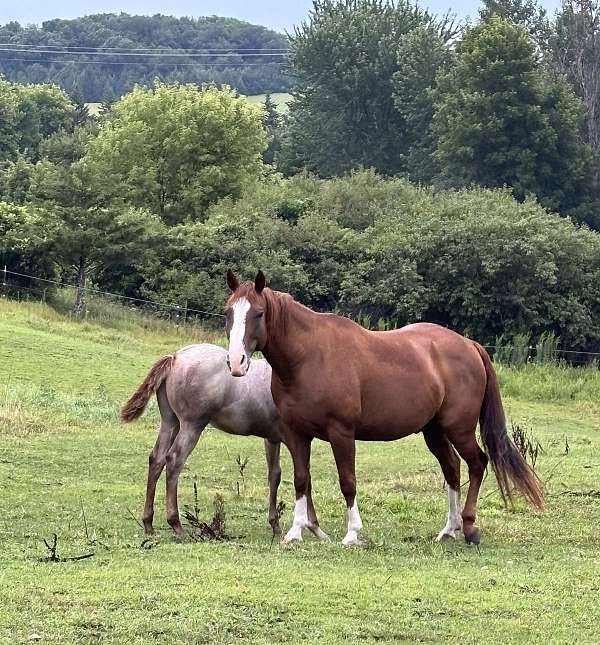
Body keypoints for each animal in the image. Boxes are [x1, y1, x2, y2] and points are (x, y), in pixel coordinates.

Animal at [121, 343, 289, 536]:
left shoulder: (272, 438)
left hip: (170, 422)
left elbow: (274, 475)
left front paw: (275, 525)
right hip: (192, 425)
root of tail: (175, 357)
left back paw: (148, 523)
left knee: (157, 459)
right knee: (174, 460)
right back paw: (176, 524)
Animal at [223, 270, 544, 546]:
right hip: (434, 430)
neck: (310, 357)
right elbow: (302, 480)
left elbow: (348, 481)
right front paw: (295, 532)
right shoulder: (295, 434)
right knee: (452, 468)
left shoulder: (341, 433)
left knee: (477, 463)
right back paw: (449, 529)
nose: (236, 361)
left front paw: (353, 534)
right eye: (228, 313)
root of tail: (469, 345)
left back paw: (469, 528)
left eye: (259, 313)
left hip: (459, 429)